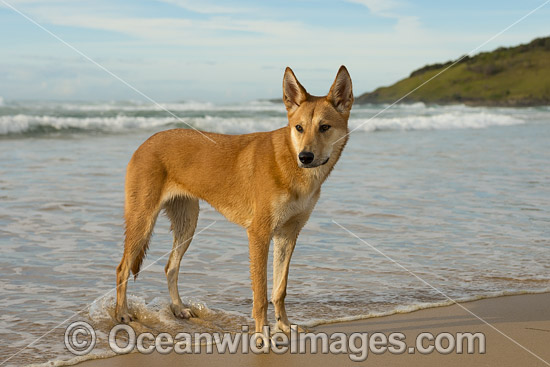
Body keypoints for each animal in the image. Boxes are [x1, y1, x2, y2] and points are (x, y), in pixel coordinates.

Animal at [116, 65, 356, 340]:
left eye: (324, 127)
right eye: (299, 127)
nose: (305, 157)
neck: (289, 162)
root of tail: (146, 142)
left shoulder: (288, 235)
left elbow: (279, 289)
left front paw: (284, 326)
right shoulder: (259, 234)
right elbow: (261, 294)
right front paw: (263, 335)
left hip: (187, 224)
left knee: (171, 267)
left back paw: (177, 308)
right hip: (143, 220)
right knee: (122, 268)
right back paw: (121, 314)